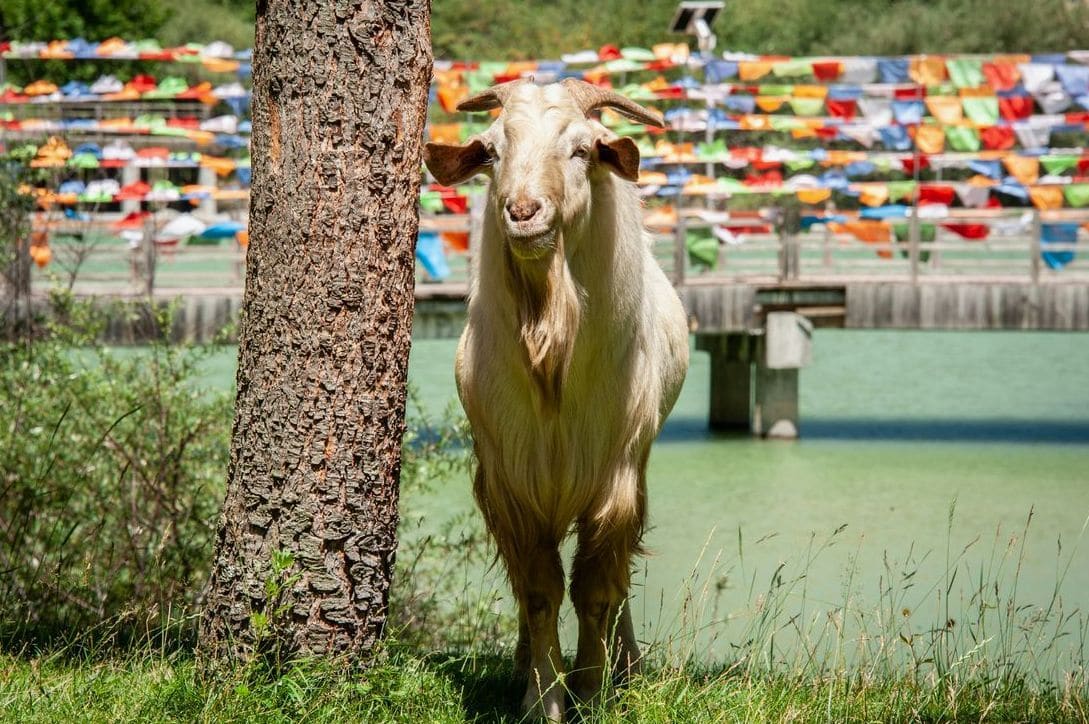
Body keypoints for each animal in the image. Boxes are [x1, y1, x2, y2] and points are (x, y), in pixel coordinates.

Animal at [423, 79, 689, 721]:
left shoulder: (614, 475)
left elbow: (596, 590)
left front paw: (592, 690)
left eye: (581, 149)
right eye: (492, 151)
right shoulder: (512, 481)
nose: (522, 213)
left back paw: (627, 665)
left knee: (618, 579)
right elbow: (539, 591)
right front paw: (541, 697)